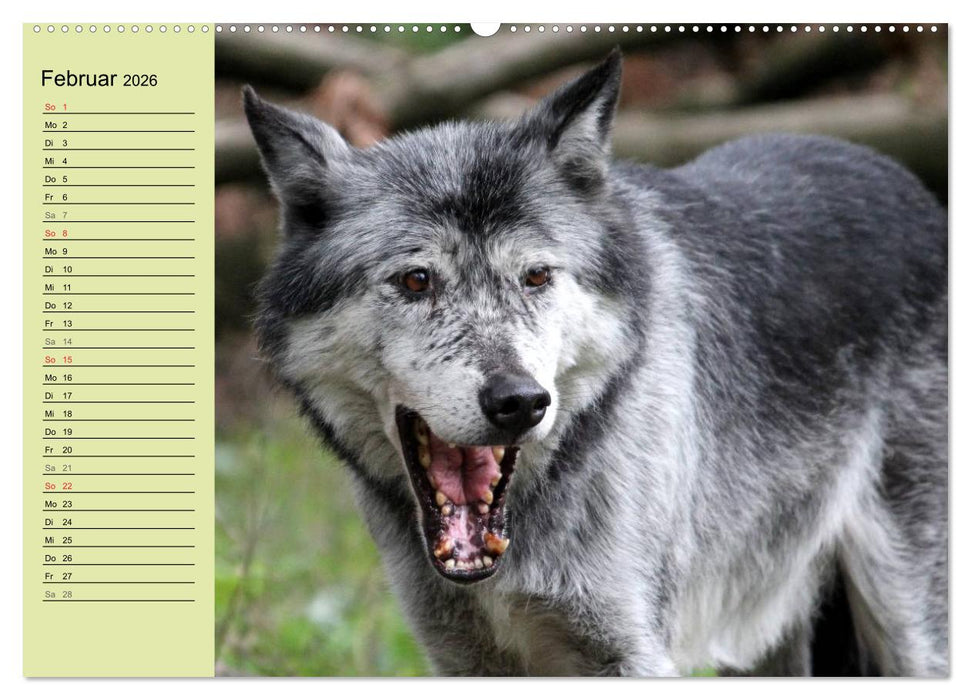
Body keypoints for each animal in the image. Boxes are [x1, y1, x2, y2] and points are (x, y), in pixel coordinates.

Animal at [242, 50, 948, 676]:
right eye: (417, 280)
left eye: (536, 276)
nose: (520, 402)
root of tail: (911, 188)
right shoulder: (467, 660)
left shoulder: (631, 653)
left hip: (911, 631)